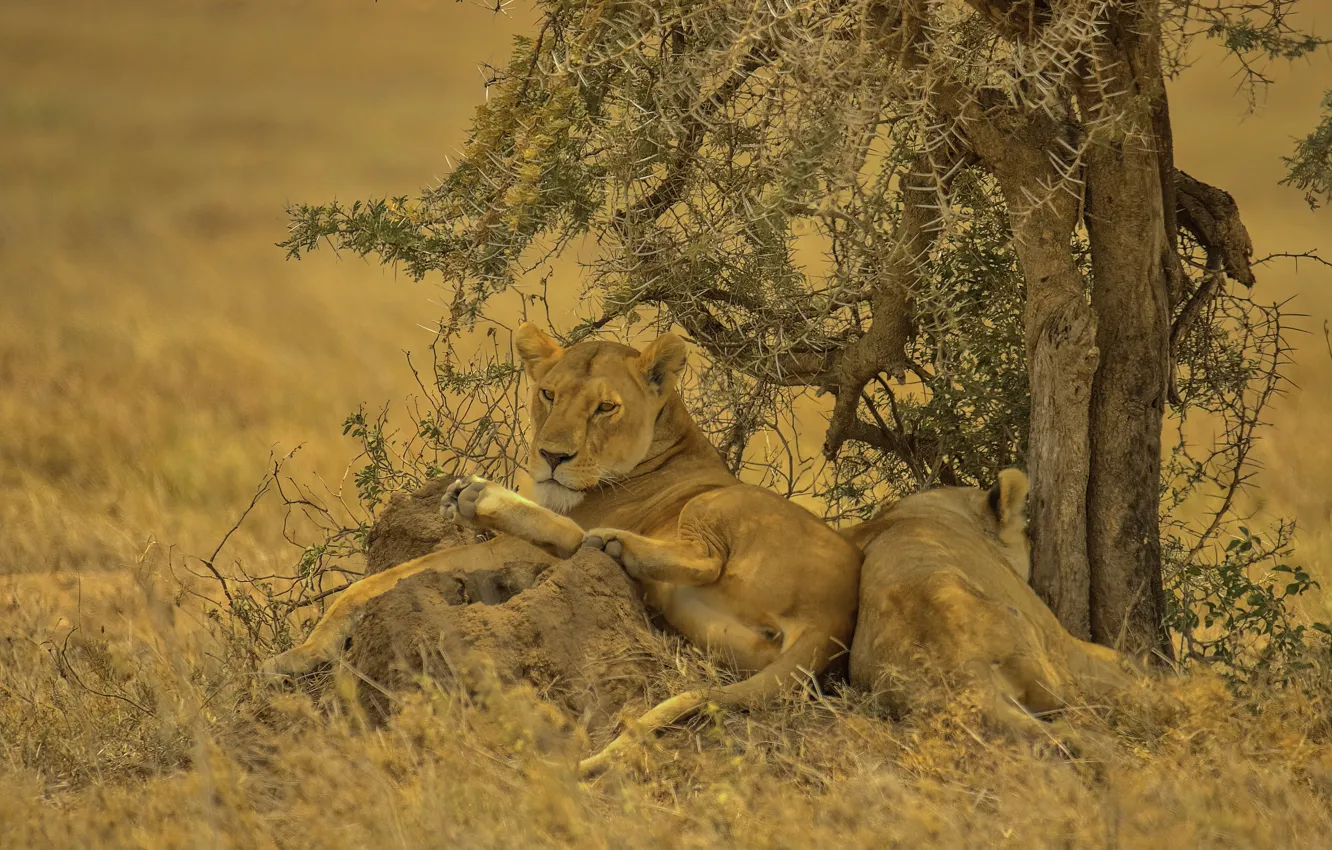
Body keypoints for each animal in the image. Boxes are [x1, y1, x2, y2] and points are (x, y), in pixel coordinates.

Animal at [261, 323, 863, 776]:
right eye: (548, 394)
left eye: (605, 409)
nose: (552, 456)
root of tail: (837, 617)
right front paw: (301, 654)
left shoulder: (517, 550)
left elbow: (385, 578)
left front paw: (298, 654)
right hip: (705, 623)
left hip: (719, 503)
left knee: (603, 544)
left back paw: (509, 506)